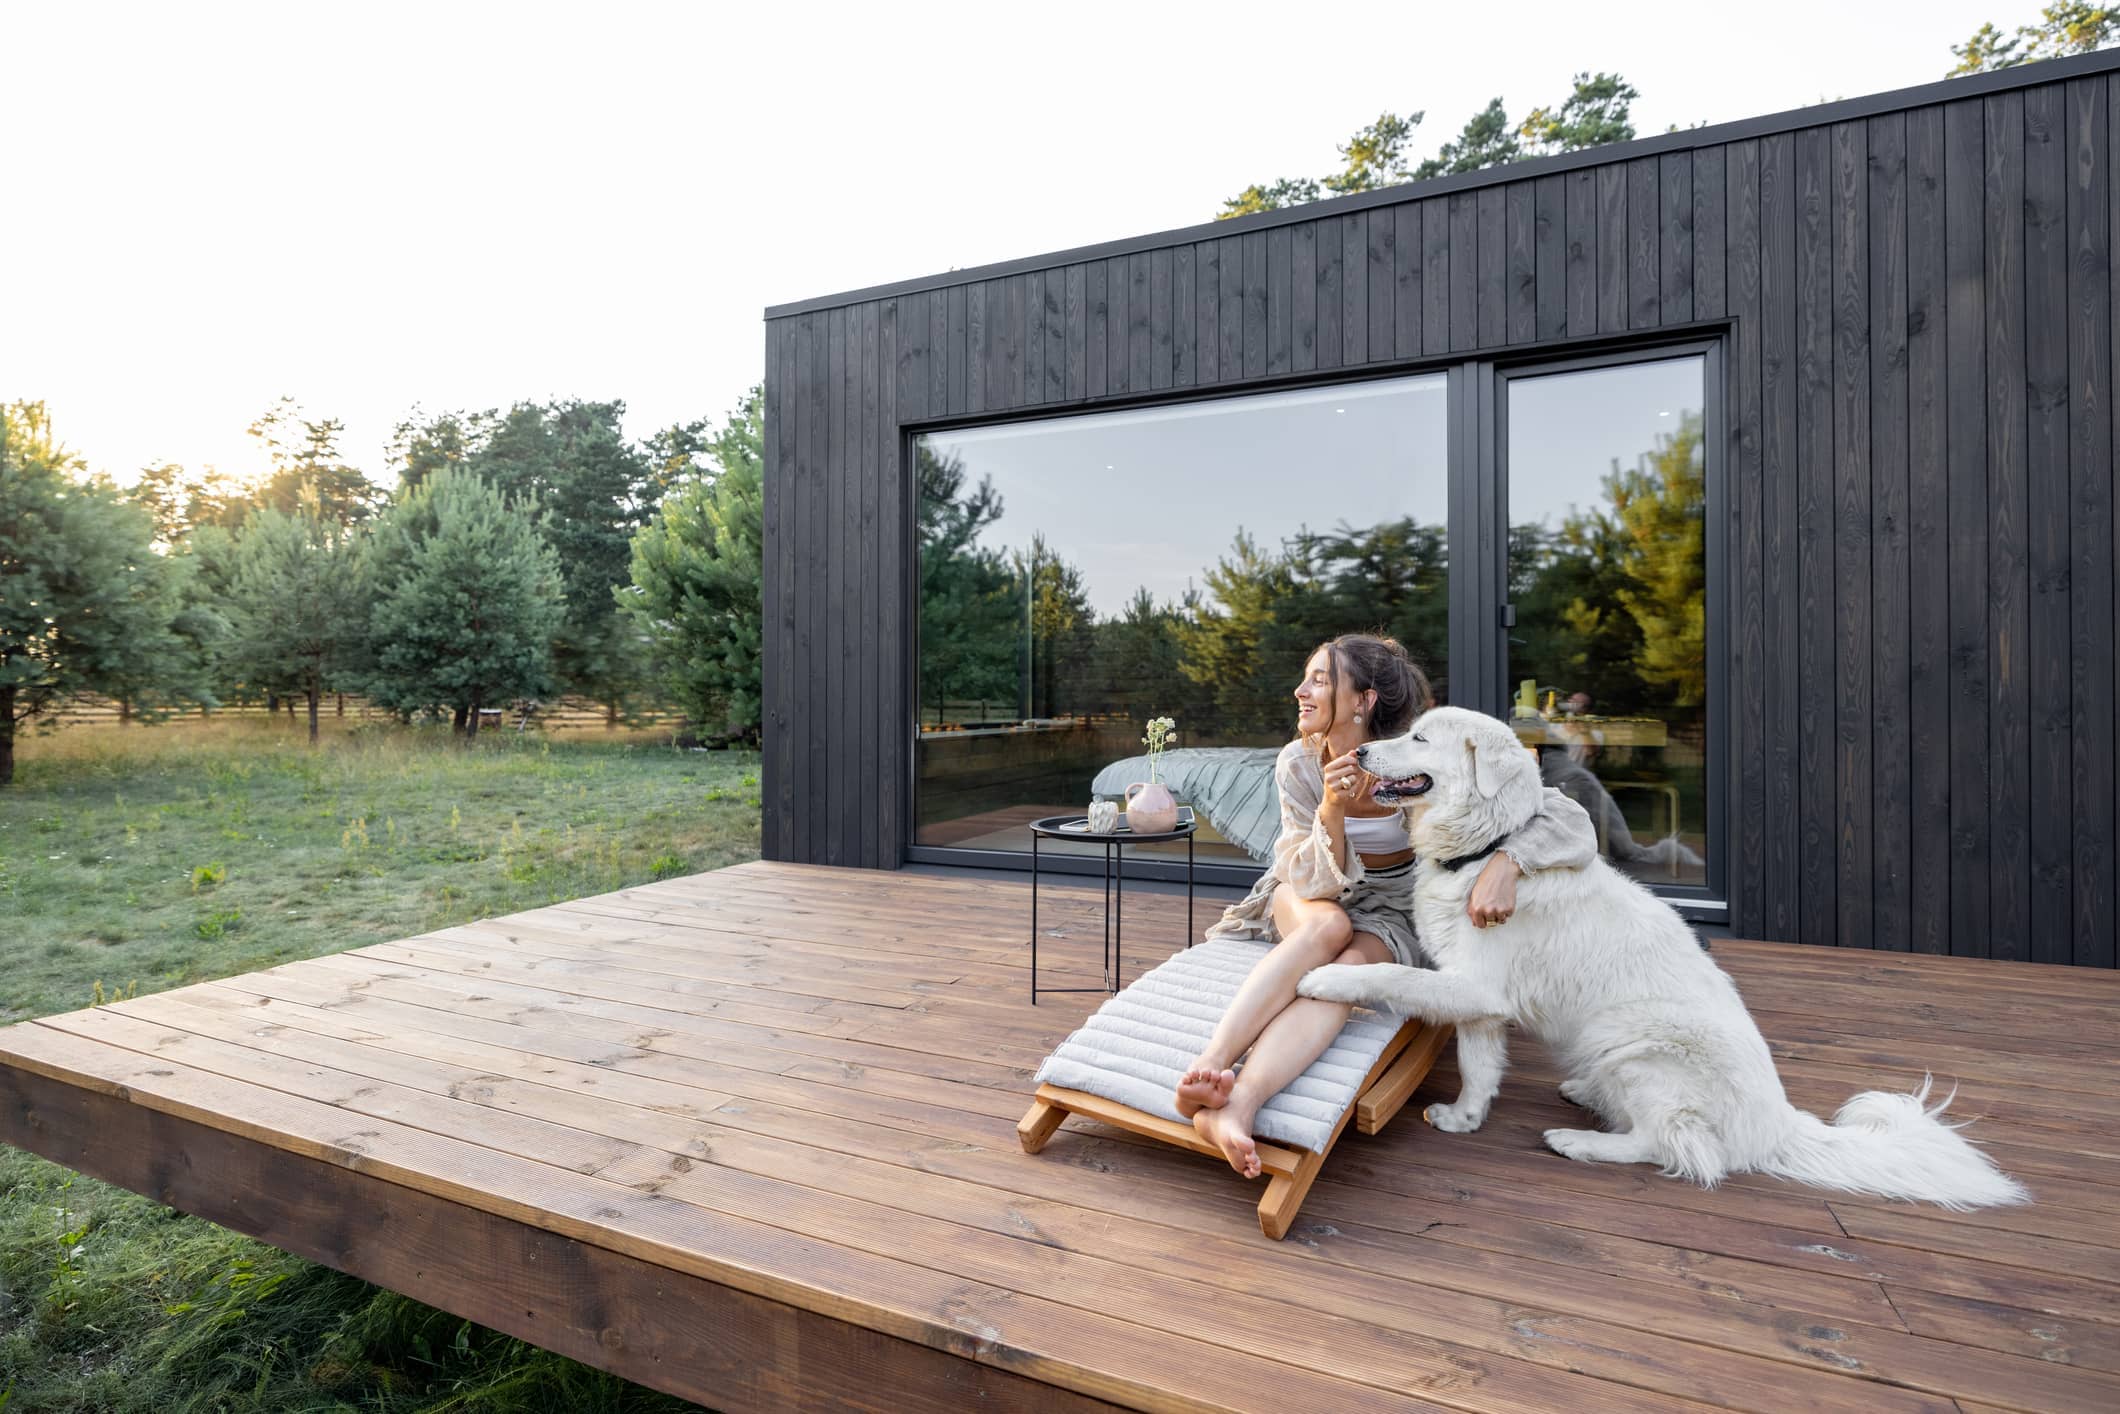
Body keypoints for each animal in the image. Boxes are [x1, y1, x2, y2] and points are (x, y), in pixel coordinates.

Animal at [1297, 703, 2026, 1212]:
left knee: (1677, 1148)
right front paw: (1465, 1119)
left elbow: (1388, 972)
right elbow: (1479, 1068)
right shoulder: (1480, 999)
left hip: (1633, 1042)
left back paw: (1579, 1140)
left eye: (1420, 739)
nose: (1359, 749)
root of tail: (1777, 1125)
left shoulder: (1474, 987)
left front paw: (1326, 977)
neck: (1486, 850)